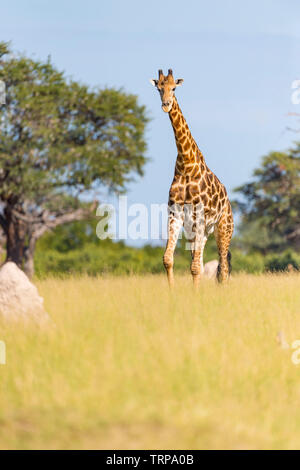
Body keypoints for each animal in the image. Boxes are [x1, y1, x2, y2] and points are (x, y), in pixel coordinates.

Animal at [150, 69, 234, 286]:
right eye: (159, 88)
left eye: (174, 88)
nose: (166, 104)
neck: (186, 164)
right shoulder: (176, 214)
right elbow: (169, 259)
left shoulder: (200, 215)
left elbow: (195, 267)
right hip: (196, 231)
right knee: (204, 264)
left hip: (223, 229)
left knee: (223, 267)